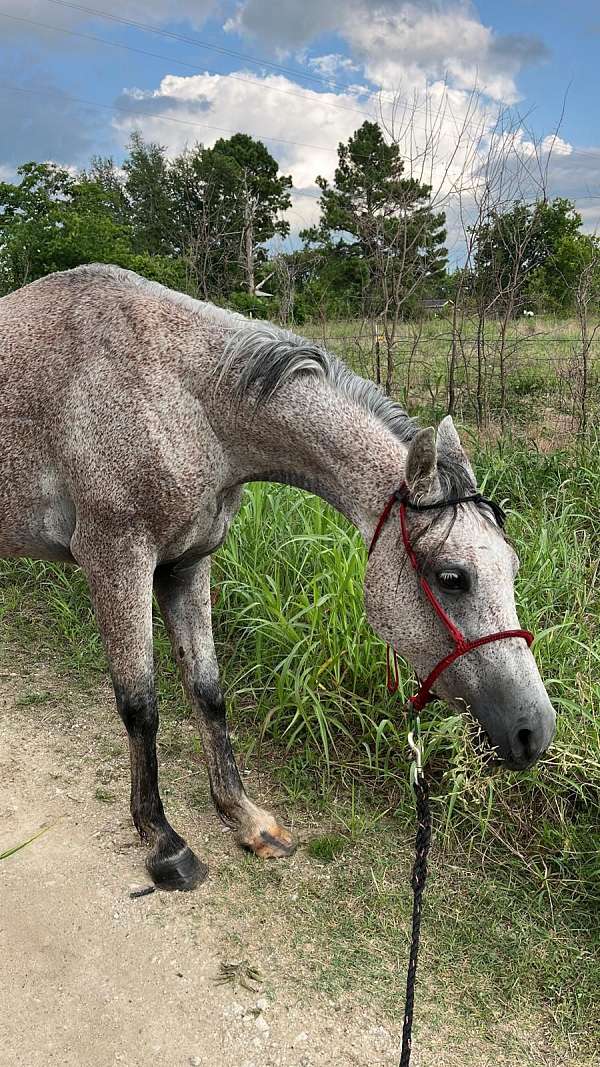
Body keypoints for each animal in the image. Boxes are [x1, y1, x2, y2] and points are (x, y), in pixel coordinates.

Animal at [0, 264, 556, 891]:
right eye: (453, 577)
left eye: (511, 567)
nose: (534, 731)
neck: (181, 399)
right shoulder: (117, 561)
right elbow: (140, 706)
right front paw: (165, 843)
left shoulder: (185, 565)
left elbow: (207, 691)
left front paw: (244, 818)